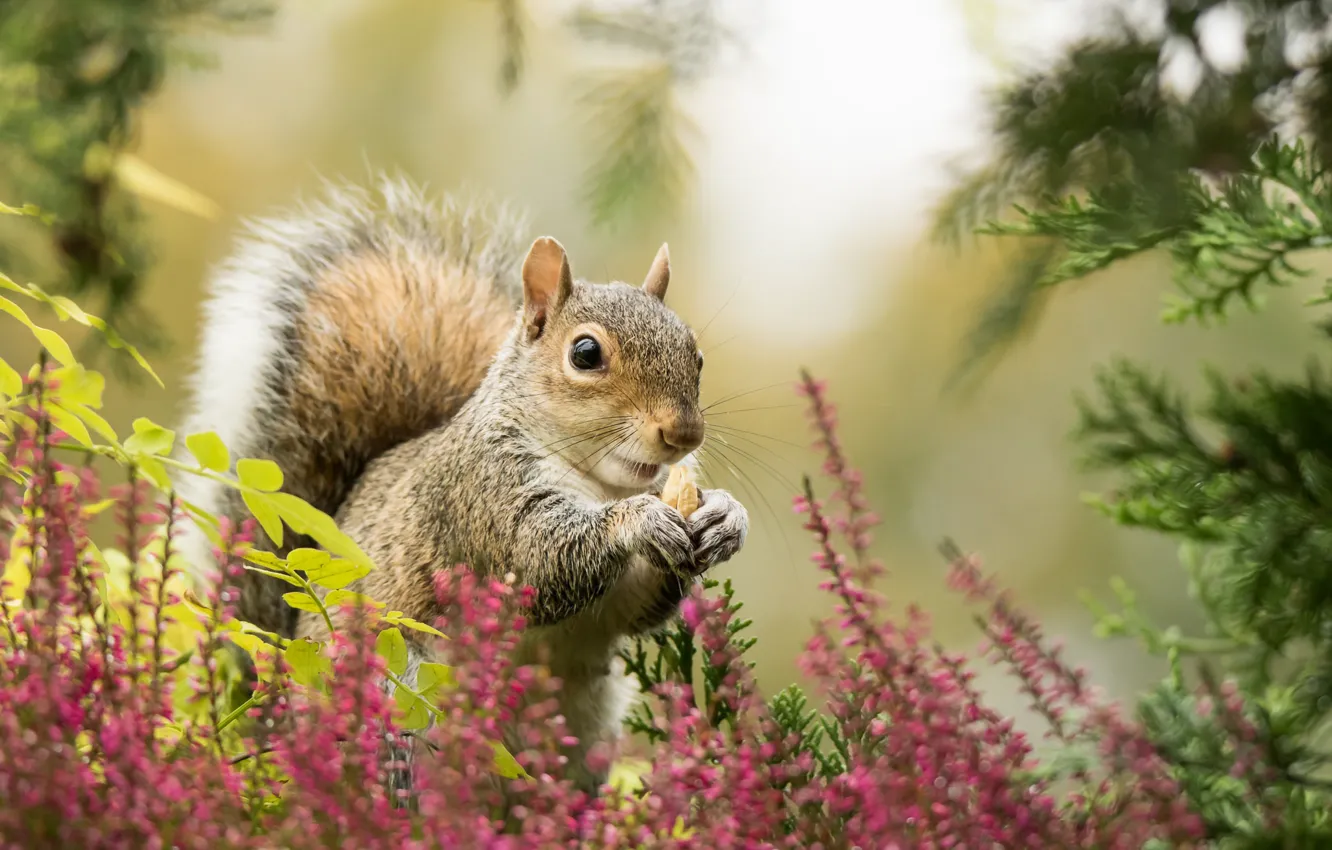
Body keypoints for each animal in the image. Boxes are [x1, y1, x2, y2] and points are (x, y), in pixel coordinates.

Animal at [174, 178, 751, 794]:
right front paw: (638, 521)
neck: (601, 483)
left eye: (695, 354)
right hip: (394, 696)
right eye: (586, 353)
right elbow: (539, 559)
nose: (683, 432)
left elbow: (638, 604)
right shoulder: (480, 494)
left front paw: (725, 517)